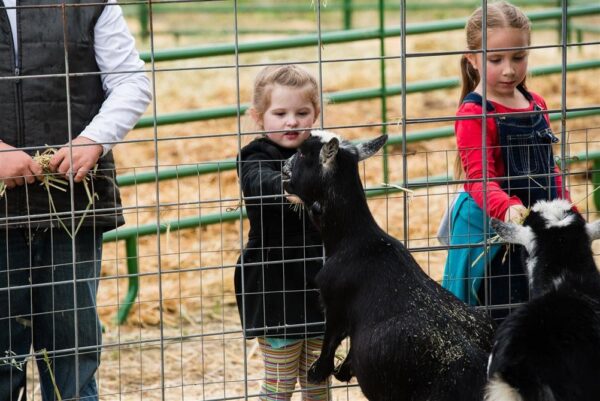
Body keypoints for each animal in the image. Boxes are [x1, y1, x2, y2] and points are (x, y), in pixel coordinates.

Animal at [284, 131, 494, 400]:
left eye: (302, 154)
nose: (284, 166)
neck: (352, 239)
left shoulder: (334, 303)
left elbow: (331, 339)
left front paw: (317, 372)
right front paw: (344, 370)